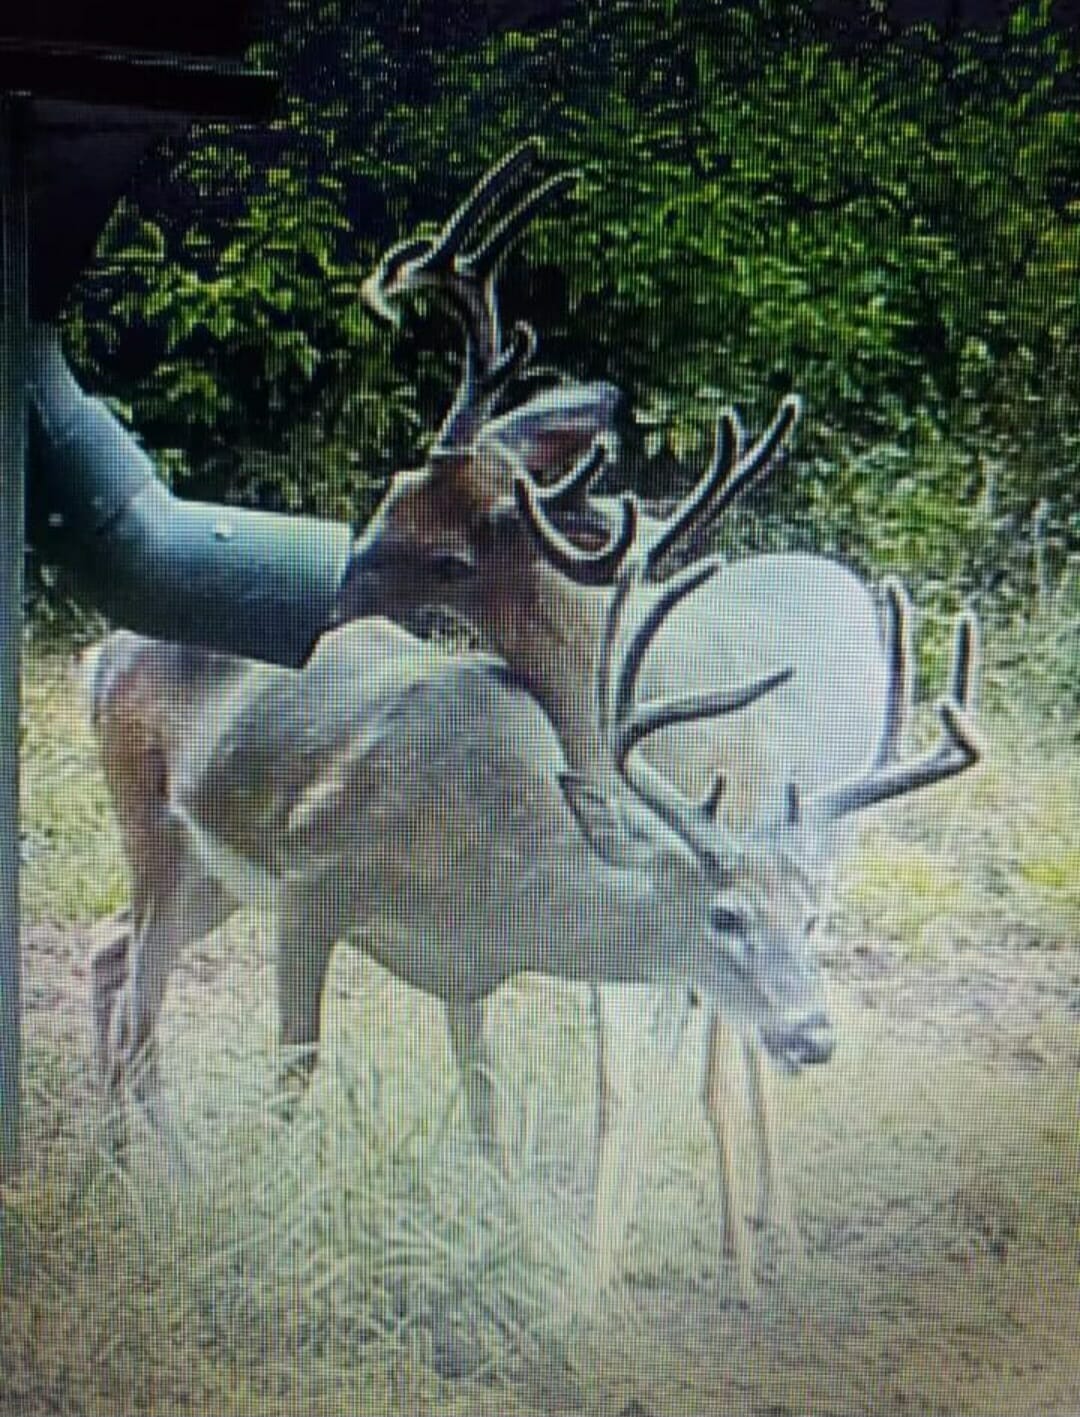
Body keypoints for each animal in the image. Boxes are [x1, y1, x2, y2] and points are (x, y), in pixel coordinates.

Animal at [337, 140, 985, 1295]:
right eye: (403, 472)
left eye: (453, 556)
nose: (337, 584)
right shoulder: (623, 859)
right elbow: (618, 1072)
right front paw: (596, 1255)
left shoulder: (736, 843)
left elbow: (718, 1055)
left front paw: (740, 1257)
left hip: (833, 832)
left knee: (750, 1037)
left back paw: (773, 1217)